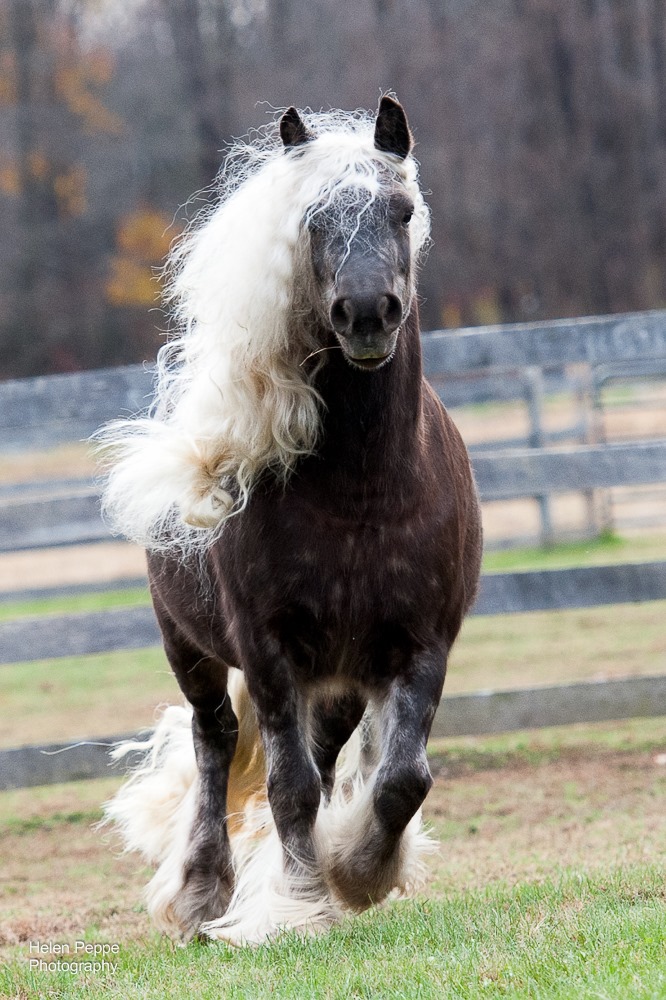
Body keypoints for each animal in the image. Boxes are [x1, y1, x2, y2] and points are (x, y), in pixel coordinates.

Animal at [98, 97, 480, 948]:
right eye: (311, 221)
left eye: (403, 211)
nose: (366, 313)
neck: (363, 497)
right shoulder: (269, 650)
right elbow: (289, 787)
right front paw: (299, 903)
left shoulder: (422, 643)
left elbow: (401, 780)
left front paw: (358, 871)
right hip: (192, 651)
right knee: (214, 746)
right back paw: (203, 893)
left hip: (337, 679)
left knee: (326, 755)